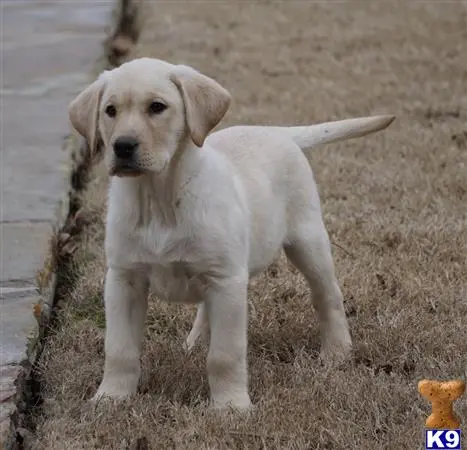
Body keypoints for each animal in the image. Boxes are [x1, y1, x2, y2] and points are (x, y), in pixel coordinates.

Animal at [68, 57, 394, 412]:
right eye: (110, 110)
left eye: (157, 107)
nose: (123, 146)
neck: (160, 201)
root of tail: (275, 131)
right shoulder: (124, 280)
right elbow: (119, 349)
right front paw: (111, 397)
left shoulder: (226, 281)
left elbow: (225, 355)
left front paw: (230, 407)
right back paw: (196, 342)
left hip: (307, 241)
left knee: (328, 295)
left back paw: (337, 351)